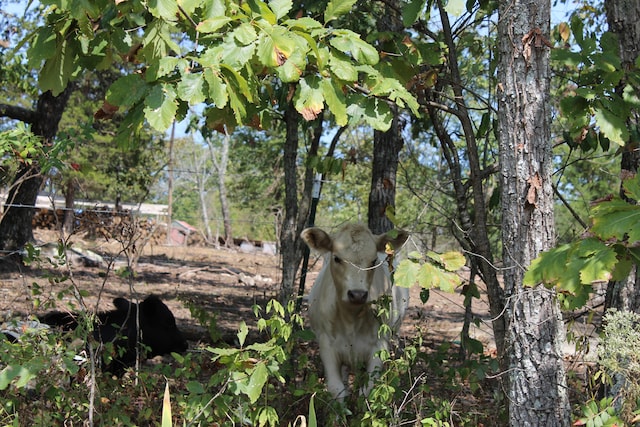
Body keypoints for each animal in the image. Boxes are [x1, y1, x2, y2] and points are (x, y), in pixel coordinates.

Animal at [302, 224, 410, 402]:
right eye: (337, 258)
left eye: (373, 261)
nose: (358, 294)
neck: (350, 318)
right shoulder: (327, 345)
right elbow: (337, 389)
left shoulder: (379, 345)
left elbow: (367, 390)